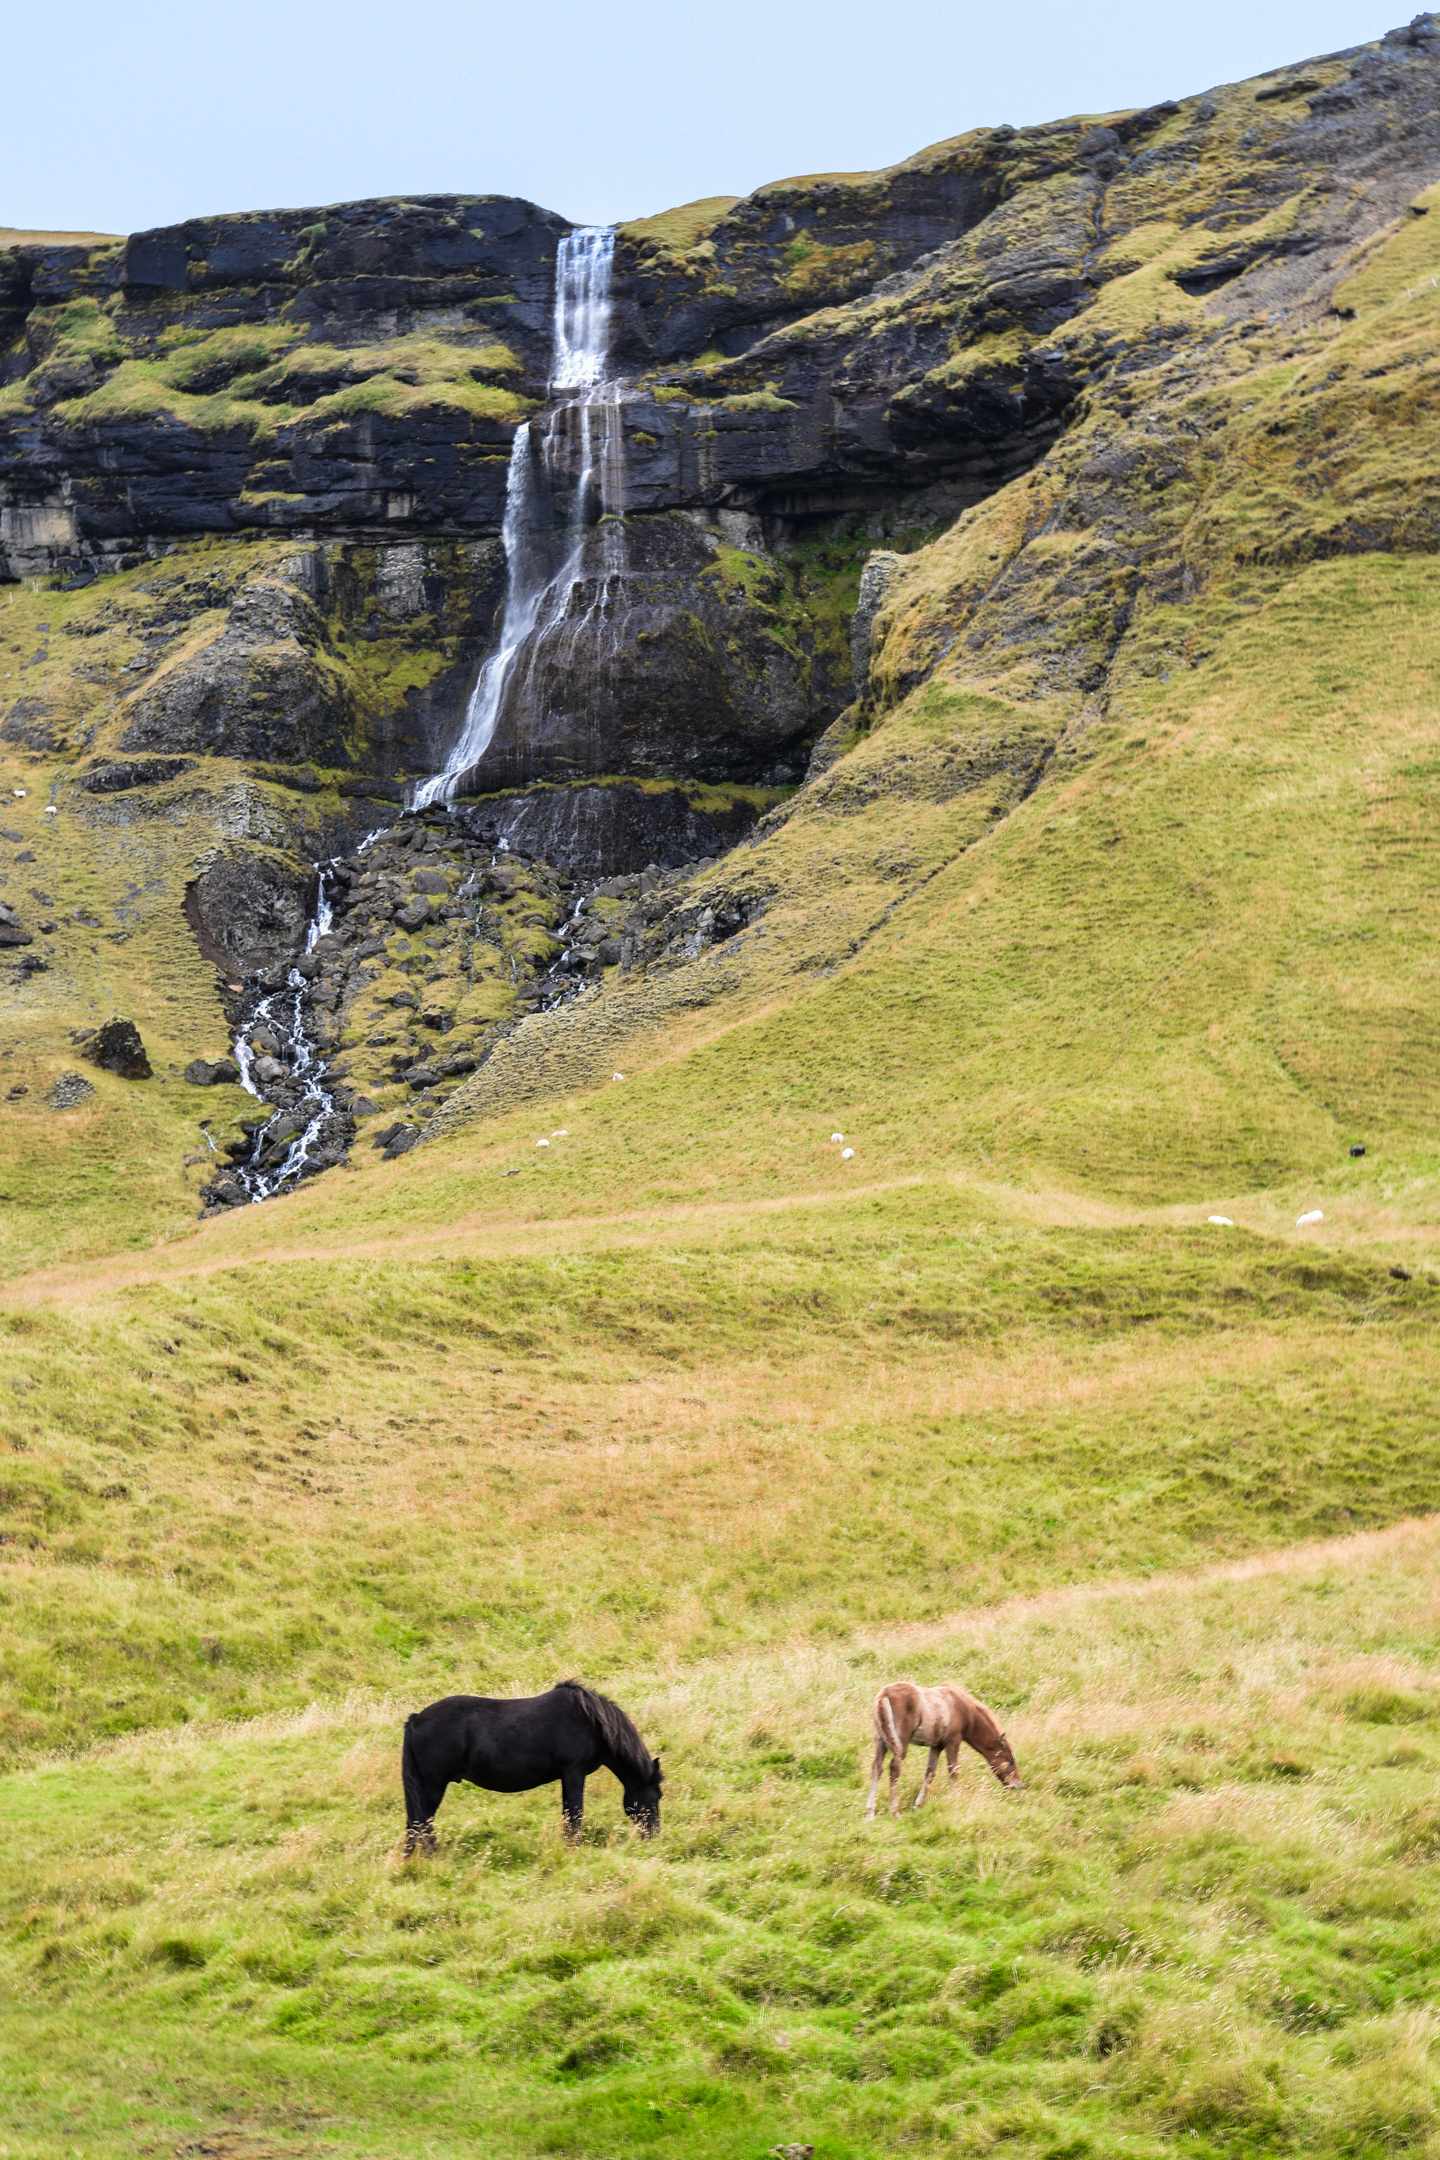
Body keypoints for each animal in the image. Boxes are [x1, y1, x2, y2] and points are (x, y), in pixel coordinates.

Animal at [401, 1679, 663, 1852]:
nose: (654, 1835)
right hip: (433, 1786)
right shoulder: (574, 1773)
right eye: (657, 1795)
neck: (590, 1721)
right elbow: (574, 1812)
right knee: (422, 1822)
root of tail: (416, 1719)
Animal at [865, 1680, 1023, 1816]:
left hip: (881, 1740)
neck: (964, 1711)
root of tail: (884, 1695)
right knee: (894, 1768)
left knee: (876, 1768)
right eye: (1010, 1761)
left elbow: (930, 1773)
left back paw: (870, 1814)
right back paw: (895, 1812)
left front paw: (918, 1805)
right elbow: (953, 1771)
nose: (1018, 1786)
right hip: (900, 1742)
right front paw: (955, 1799)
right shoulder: (953, 1741)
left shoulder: (937, 1746)